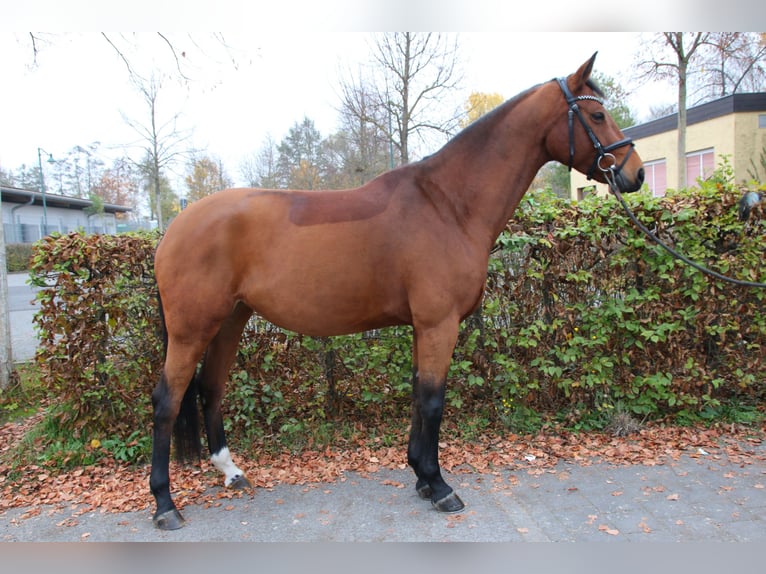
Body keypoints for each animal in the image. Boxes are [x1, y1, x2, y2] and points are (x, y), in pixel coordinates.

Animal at [148, 54, 640, 532]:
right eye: (597, 114)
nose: (633, 174)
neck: (448, 205)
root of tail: (174, 227)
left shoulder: (424, 326)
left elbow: (418, 395)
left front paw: (421, 476)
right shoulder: (439, 324)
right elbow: (434, 400)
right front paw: (440, 487)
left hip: (231, 320)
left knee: (210, 388)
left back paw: (230, 472)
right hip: (192, 330)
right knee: (166, 401)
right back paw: (165, 505)